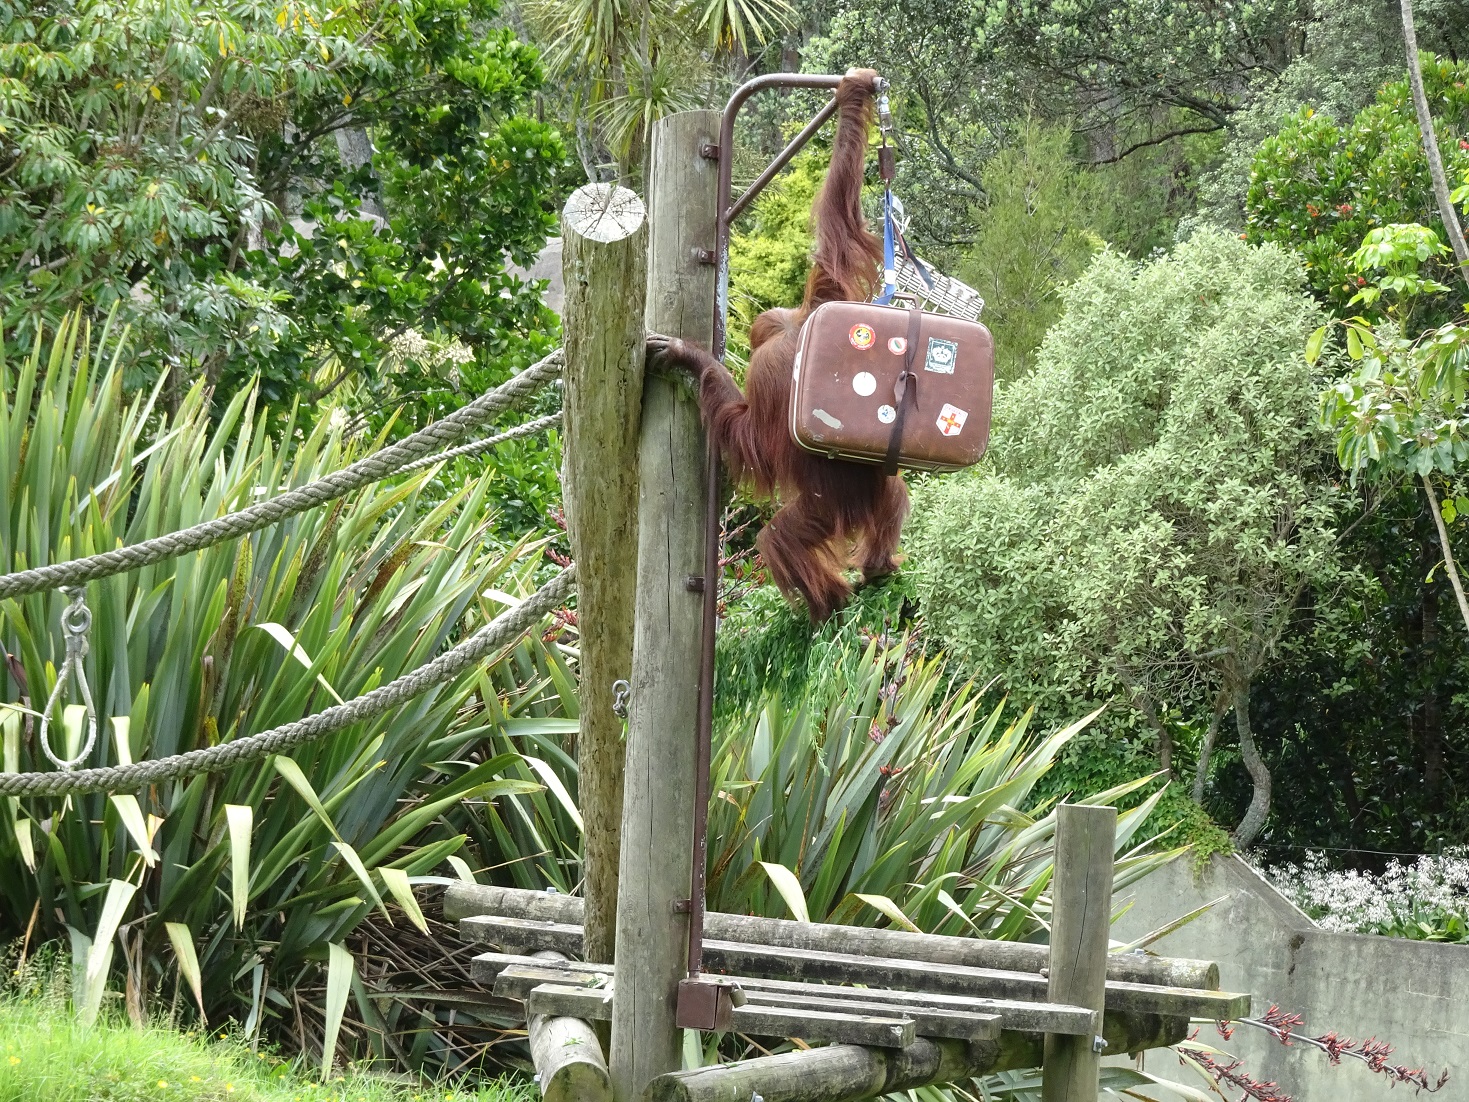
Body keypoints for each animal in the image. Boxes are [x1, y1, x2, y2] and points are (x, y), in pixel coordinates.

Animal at [649, 69, 907, 623]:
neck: (792, 332)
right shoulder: (823, 296)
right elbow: (835, 228)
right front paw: (853, 97)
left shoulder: (766, 371)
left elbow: (750, 436)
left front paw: (688, 357)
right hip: (874, 486)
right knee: (894, 494)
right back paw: (878, 566)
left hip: (823, 507)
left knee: (779, 539)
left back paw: (826, 604)